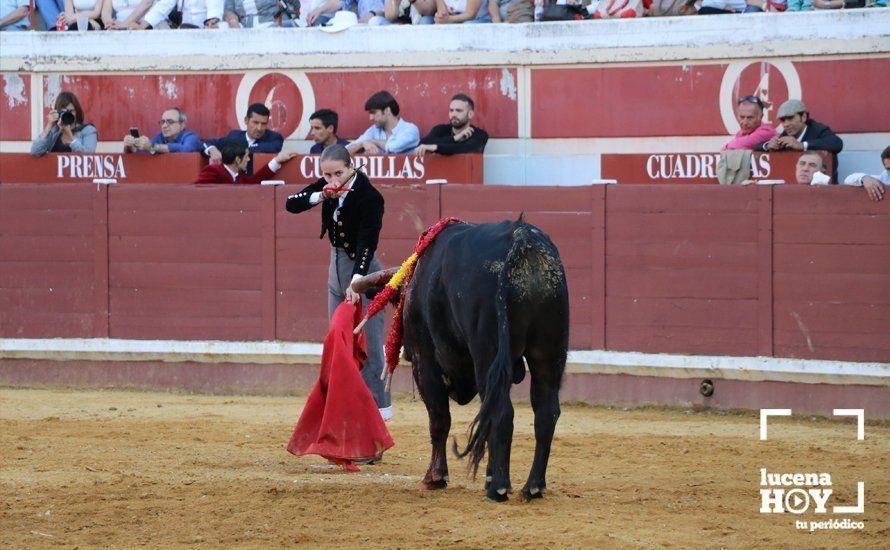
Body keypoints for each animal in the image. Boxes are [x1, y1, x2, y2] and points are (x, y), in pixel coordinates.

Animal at [358, 221, 564, 504]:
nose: (405, 352)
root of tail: (521, 240)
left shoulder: (425, 362)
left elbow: (439, 419)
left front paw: (435, 477)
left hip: (487, 355)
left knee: (501, 412)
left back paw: (497, 488)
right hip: (548, 352)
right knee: (545, 412)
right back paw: (532, 487)